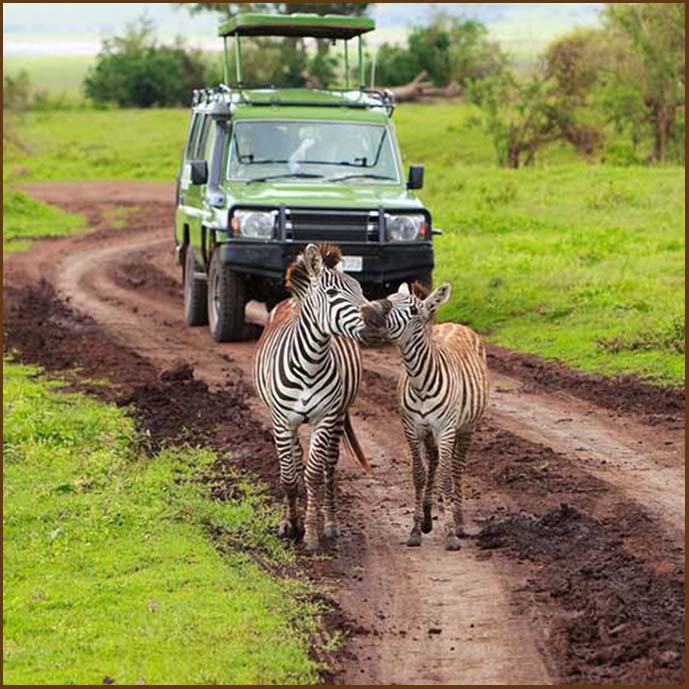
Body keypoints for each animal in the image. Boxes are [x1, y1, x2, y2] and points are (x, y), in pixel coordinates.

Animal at [254, 245, 388, 552]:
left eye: (360, 288)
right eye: (332, 293)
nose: (376, 319)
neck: (309, 363)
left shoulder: (324, 418)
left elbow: (313, 474)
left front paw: (311, 532)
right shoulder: (282, 421)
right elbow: (288, 475)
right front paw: (290, 524)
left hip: (338, 417)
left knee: (328, 465)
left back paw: (330, 523)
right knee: (293, 460)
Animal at [368, 280, 486, 548]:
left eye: (413, 310)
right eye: (389, 296)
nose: (371, 311)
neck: (419, 381)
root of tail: (456, 324)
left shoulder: (445, 430)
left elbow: (445, 478)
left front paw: (451, 534)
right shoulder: (412, 429)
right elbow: (419, 475)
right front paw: (415, 529)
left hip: (466, 428)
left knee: (456, 467)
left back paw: (459, 523)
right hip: (430, 434)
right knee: (433, 461)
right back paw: (428, 518)